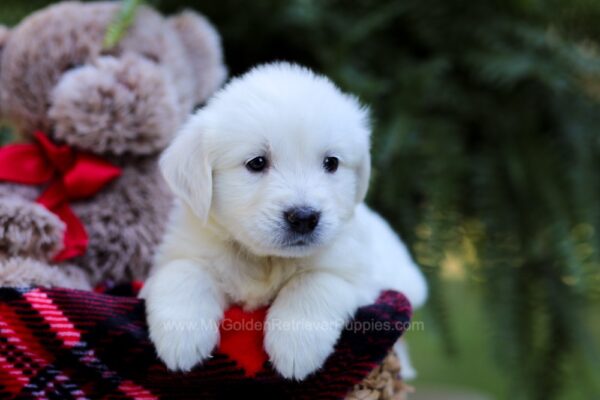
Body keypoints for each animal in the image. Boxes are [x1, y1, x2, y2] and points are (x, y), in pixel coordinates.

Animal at [142, 61, 426, 378]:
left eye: (331, 163)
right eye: (257, 163)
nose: (304, 218)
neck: (266, 260)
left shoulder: (357, 275)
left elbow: (313, 281)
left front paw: (295, 347)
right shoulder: (182, 250)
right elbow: (184, 272)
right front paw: (180, 339)